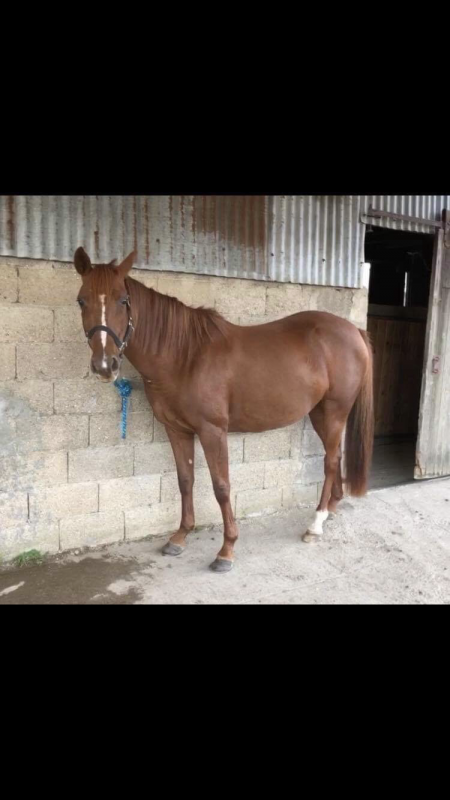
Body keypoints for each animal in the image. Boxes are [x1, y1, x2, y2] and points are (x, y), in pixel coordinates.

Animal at [74, 247, 374, 573]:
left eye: (123, 300)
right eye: (81, 300)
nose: (106, 365)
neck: (184, 356)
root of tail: (353, 330)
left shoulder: (212, 431)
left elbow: (221, 486)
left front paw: (226, 550)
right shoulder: (177, 430)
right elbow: (185, 481)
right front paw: (180, 537)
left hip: (334, 411)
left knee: (330, 462)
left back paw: (315, 524)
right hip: (320, 413)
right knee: (336, 457)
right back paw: (331, 509)